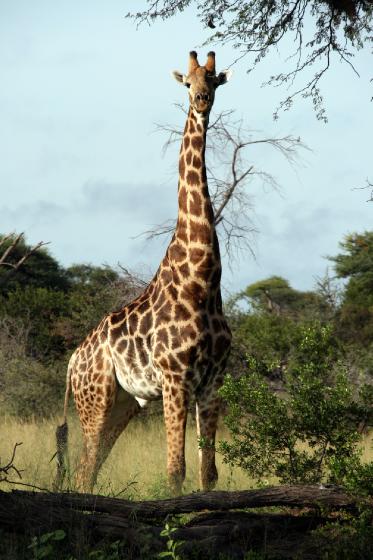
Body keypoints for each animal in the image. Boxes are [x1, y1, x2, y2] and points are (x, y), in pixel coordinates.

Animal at [54, 50, 232, 492]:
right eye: (187, 82)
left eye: (213, 81)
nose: (201, 100)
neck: (203, 280)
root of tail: (73, 361)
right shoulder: (175, 379)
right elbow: (175, 470)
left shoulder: (213, 381)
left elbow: (208, 473)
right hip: (95, 399)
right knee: (84, 467)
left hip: (123, 405)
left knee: (89, 467)